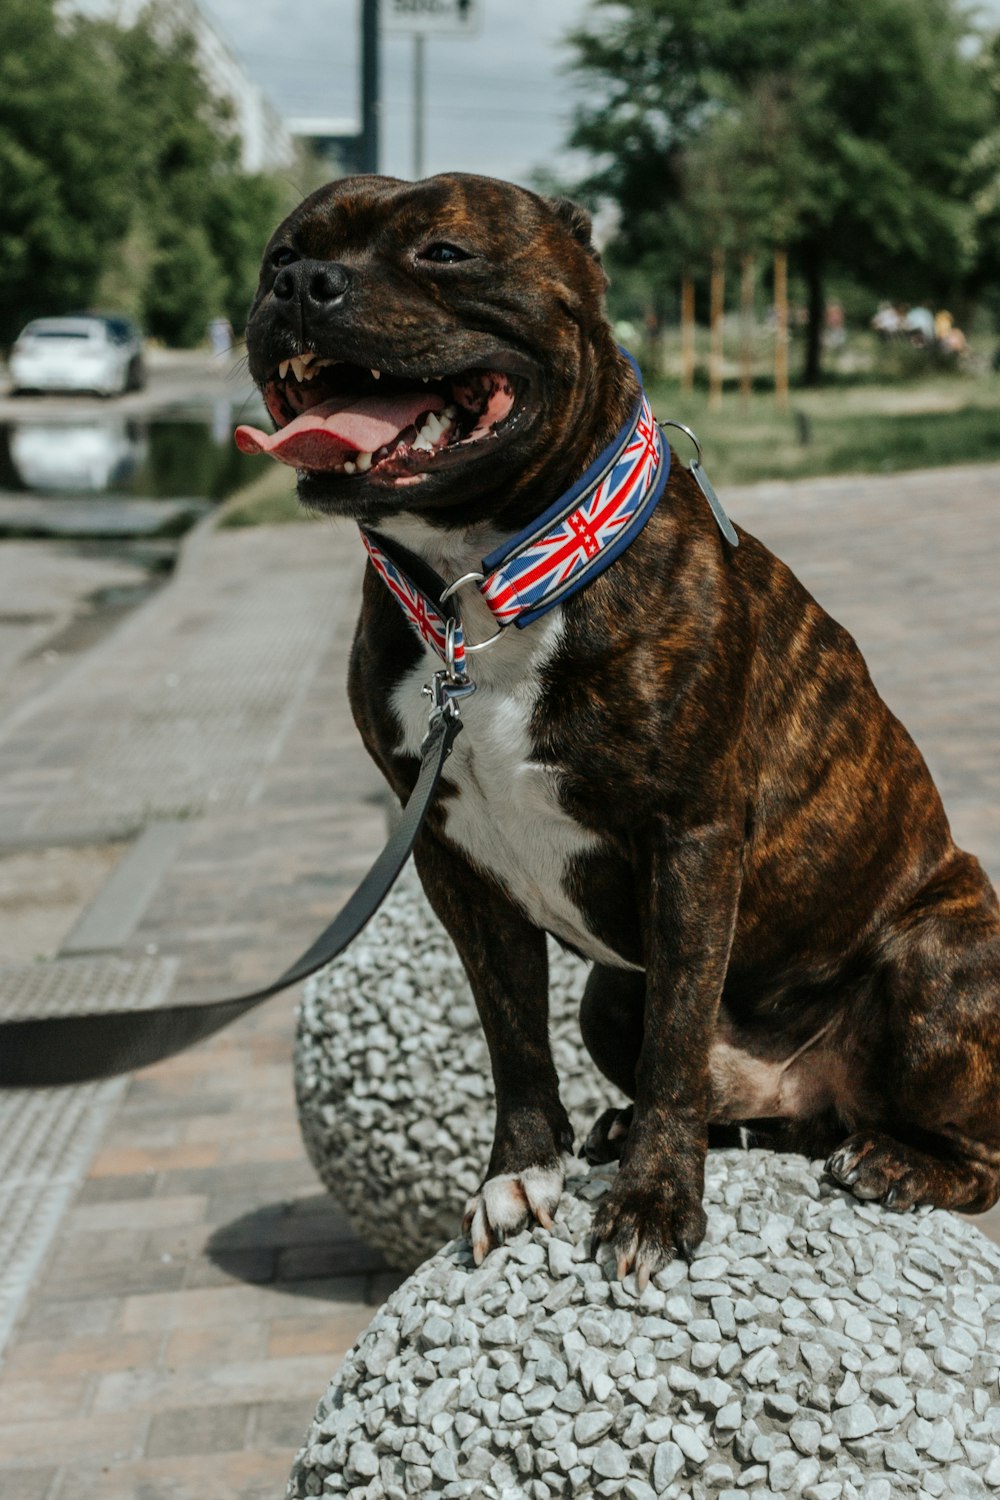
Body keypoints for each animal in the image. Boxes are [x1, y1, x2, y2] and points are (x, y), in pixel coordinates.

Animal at [239, 172, 1000, 1278]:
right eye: (279, 255)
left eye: (443, 252)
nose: (303, 284)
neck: (487, 583)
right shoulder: (455, 864)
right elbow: (512, 1036)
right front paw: (522, 1172)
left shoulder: (689, 844)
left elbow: (676, 1039)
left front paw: (652, 1202)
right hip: (607, 992)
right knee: (742, 1105)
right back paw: (647, 1126)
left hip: (937, 964)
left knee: (972, 1152)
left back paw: (896, 1162)